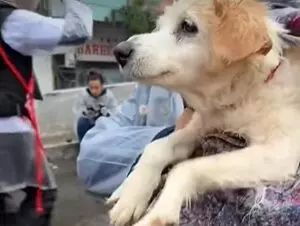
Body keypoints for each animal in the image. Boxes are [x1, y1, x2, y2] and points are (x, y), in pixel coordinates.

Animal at [108, 0, 300, 225]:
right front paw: (131, 195)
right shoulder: (202, 126)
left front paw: (158, 213)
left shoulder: (281, 152)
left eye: (188, 26)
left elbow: (186, 168)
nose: (119, 52)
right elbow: (157, 147)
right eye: (160, 26)